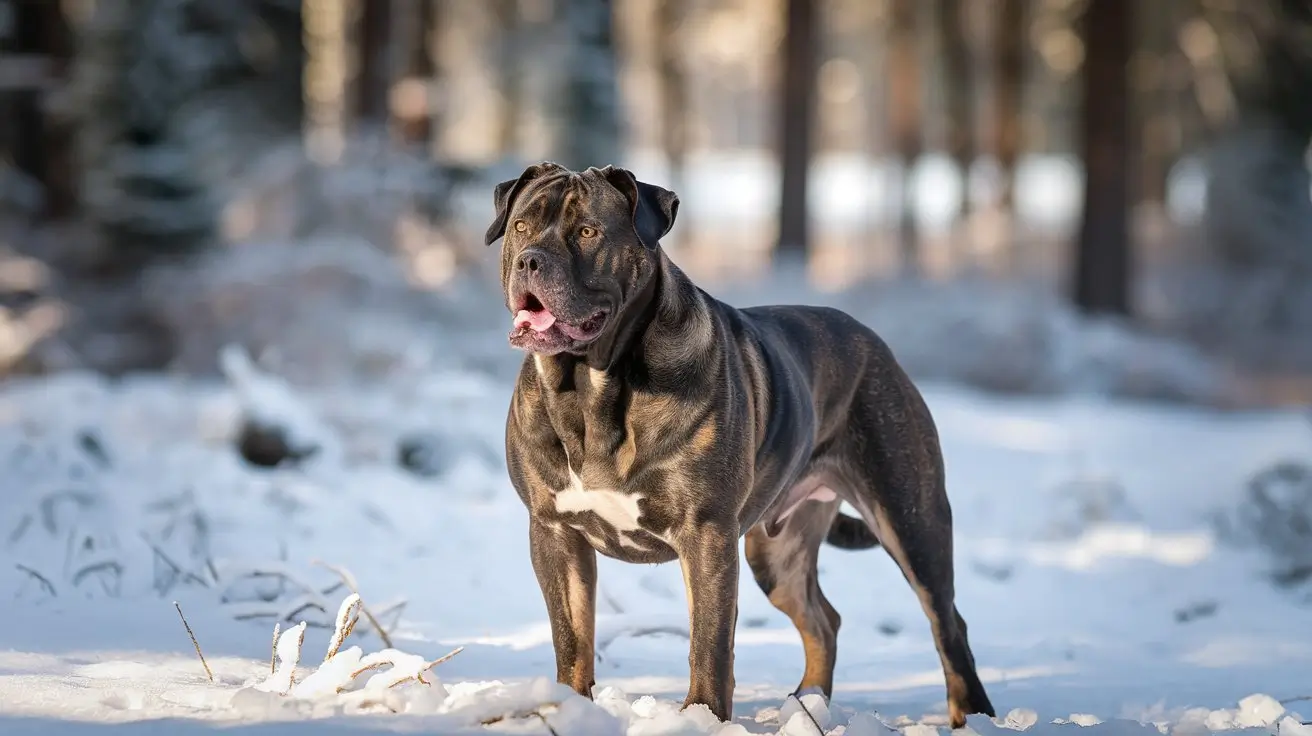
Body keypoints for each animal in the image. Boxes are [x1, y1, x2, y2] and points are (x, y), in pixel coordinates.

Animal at [485, 159, 991, 724]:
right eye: (522, 226)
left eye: (588, 232)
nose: (530, 261)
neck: (592, 386)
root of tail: (874, 341)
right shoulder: (554, 530)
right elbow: (571, 637)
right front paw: (569, 710)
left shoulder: (705, 532)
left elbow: (708, 640)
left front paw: (701, 716)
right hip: (777, 552)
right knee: (823, 619)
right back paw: (808, 705)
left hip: (911, 516)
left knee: (947, 623)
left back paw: (972, 717)